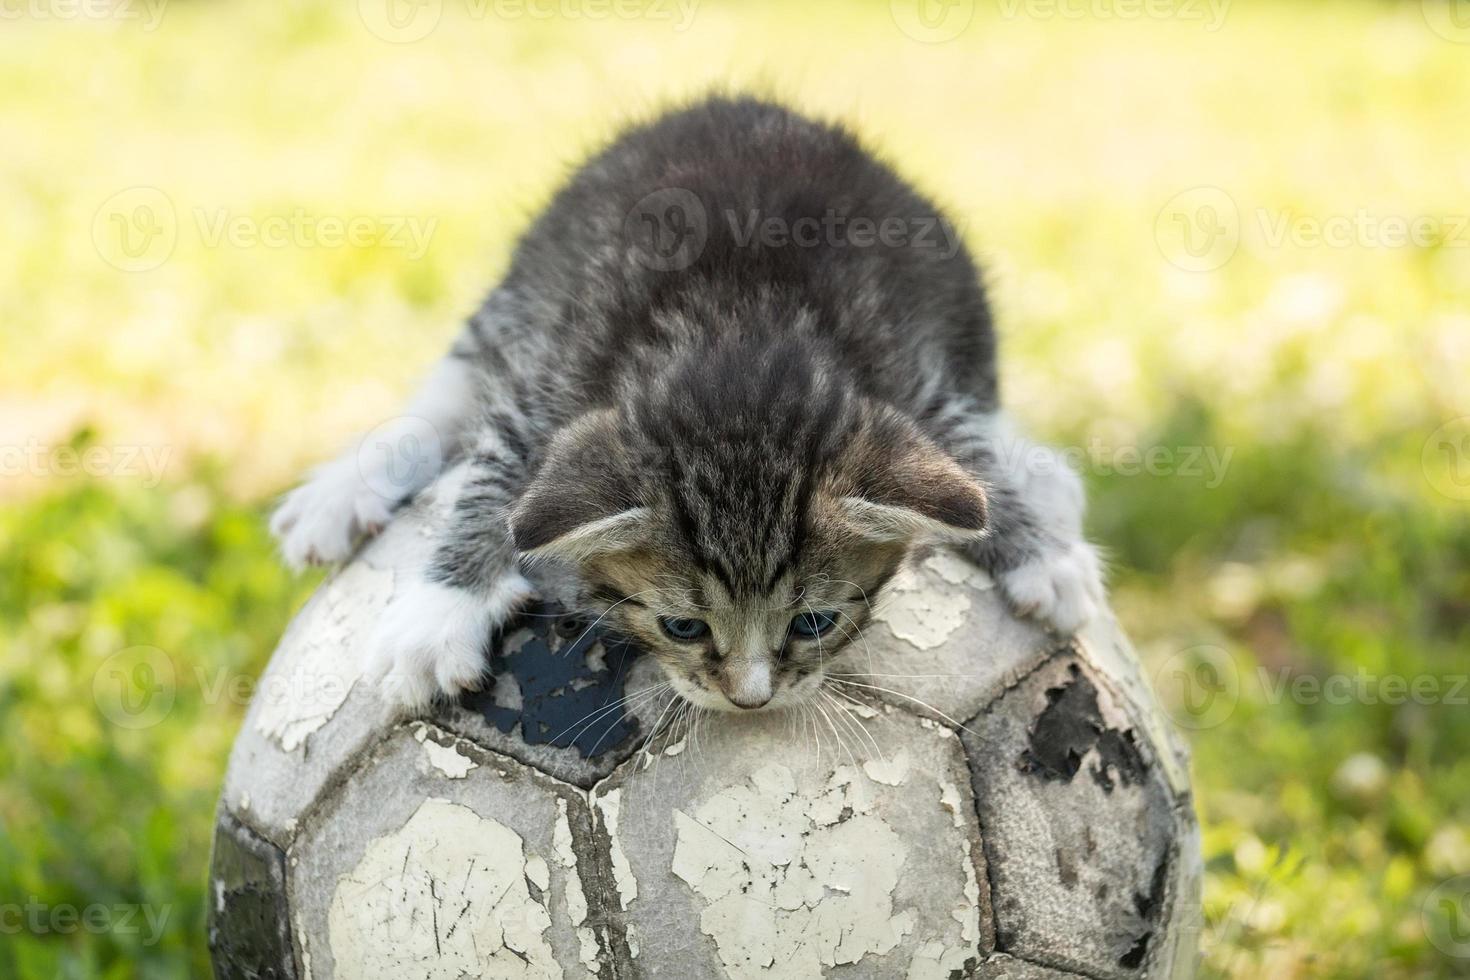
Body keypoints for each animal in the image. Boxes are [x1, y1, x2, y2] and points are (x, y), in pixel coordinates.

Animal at [273, 94, 1105, 714]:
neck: (738, 335)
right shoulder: (554, 362)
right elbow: (498, 469)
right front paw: (440, 608)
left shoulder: (902, 365)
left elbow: (964, 450)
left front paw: (1039, 547)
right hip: (529, 283)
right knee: (454, 385)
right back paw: (342, 491)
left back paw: (1048, 480)